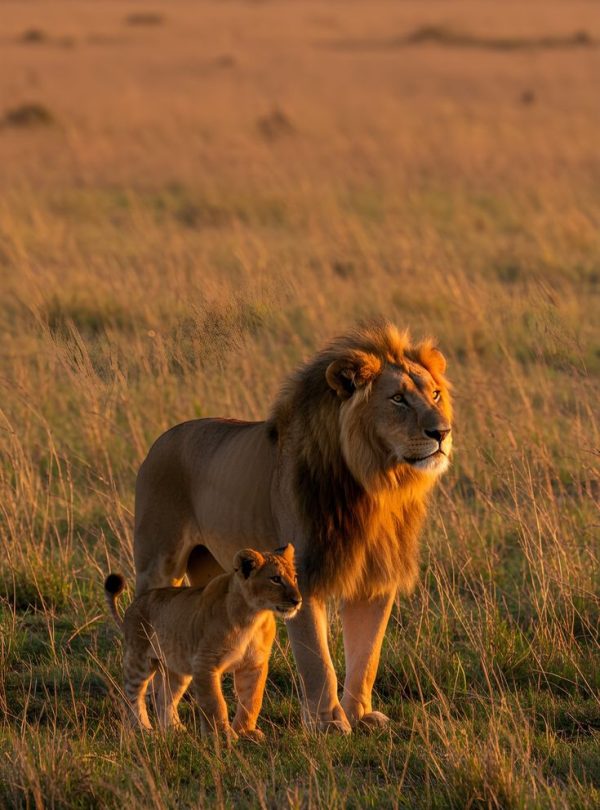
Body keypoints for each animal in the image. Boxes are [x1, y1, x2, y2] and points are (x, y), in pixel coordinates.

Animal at [105, 544, 301, 740]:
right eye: (276, 579)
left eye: (295, 577)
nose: (297, 600)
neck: (254, 616)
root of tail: (133, 604)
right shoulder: (205, 663)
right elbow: (215, 703)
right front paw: (223, 736)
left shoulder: (254, 664)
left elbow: (252, 699)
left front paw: (245, 732)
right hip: (139, 660)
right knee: (131, 696)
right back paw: (143, 730)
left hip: (178, 667)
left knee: (164, 698)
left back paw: (175, 729)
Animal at [134, 323, 452, 733]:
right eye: (398, 398)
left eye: (435, 394)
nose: (442, 432)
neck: (378, 485)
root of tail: (161, 439)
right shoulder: (305, 576)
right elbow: (318, 661)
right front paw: (329, 723)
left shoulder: (375, 581)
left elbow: (367, 656)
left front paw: (360, 715)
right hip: (158, 564)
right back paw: (161, 723)